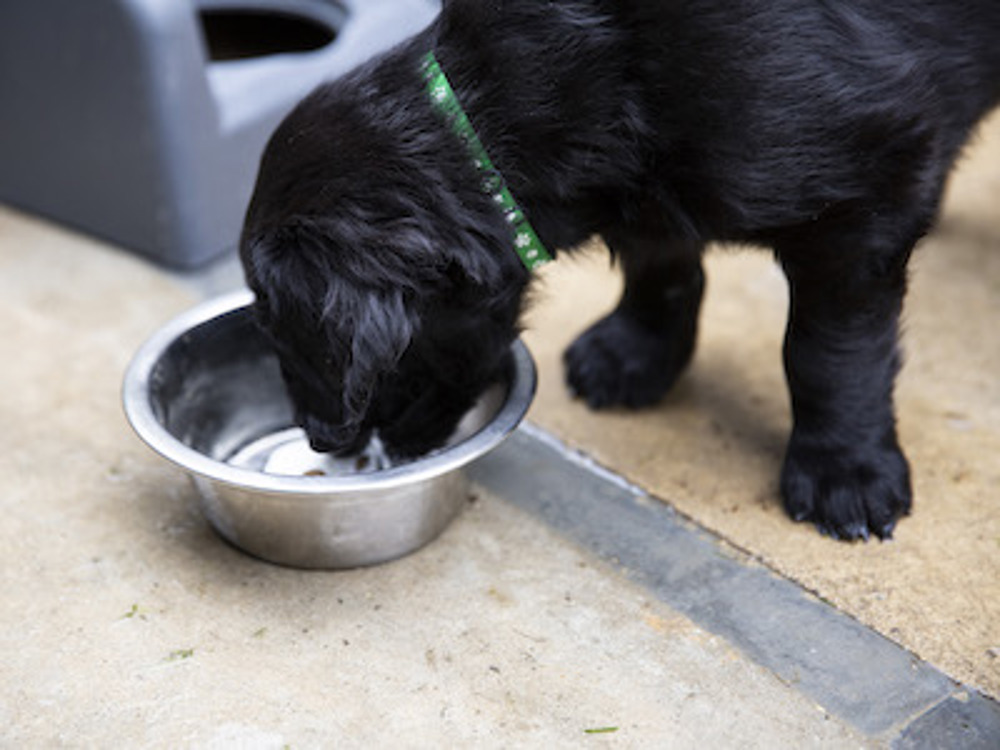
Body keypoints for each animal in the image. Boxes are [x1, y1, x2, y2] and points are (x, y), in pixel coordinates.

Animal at [242, 0, 1000, 540]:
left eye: (288, 333)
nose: (320, 438)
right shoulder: (642, 183)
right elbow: (658, 267)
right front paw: (635, 355)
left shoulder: (859, 200)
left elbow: (828, 351)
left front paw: (844, 471)